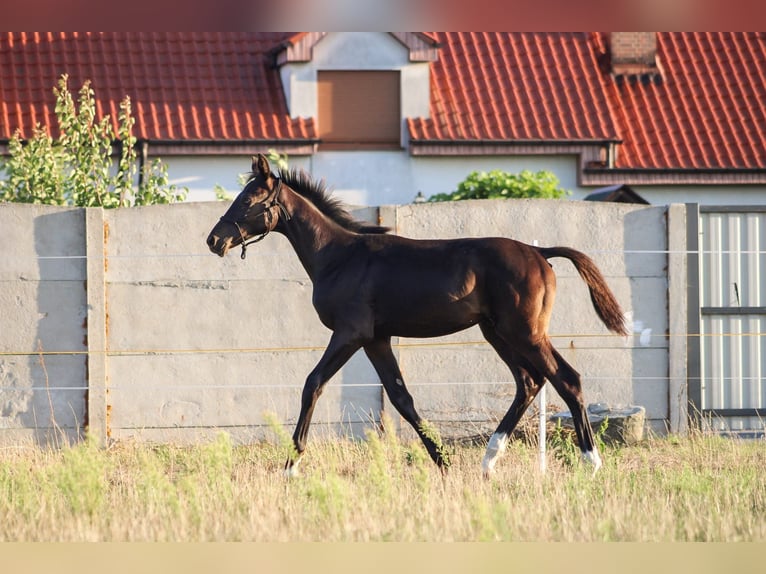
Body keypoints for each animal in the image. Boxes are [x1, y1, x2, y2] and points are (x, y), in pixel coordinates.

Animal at [207, 155, 628, 480]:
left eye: (249, 199)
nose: (214, 240)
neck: (339, 256)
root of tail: (540, 253)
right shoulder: (375, 339)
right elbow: (401, 398)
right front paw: (444, 461)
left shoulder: (349, 333)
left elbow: (313, 383)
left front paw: (290, 468)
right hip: (497, 333)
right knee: (529, 381)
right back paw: (488, 461)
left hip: (525, 333)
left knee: (566, 379)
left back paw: (591, 463)